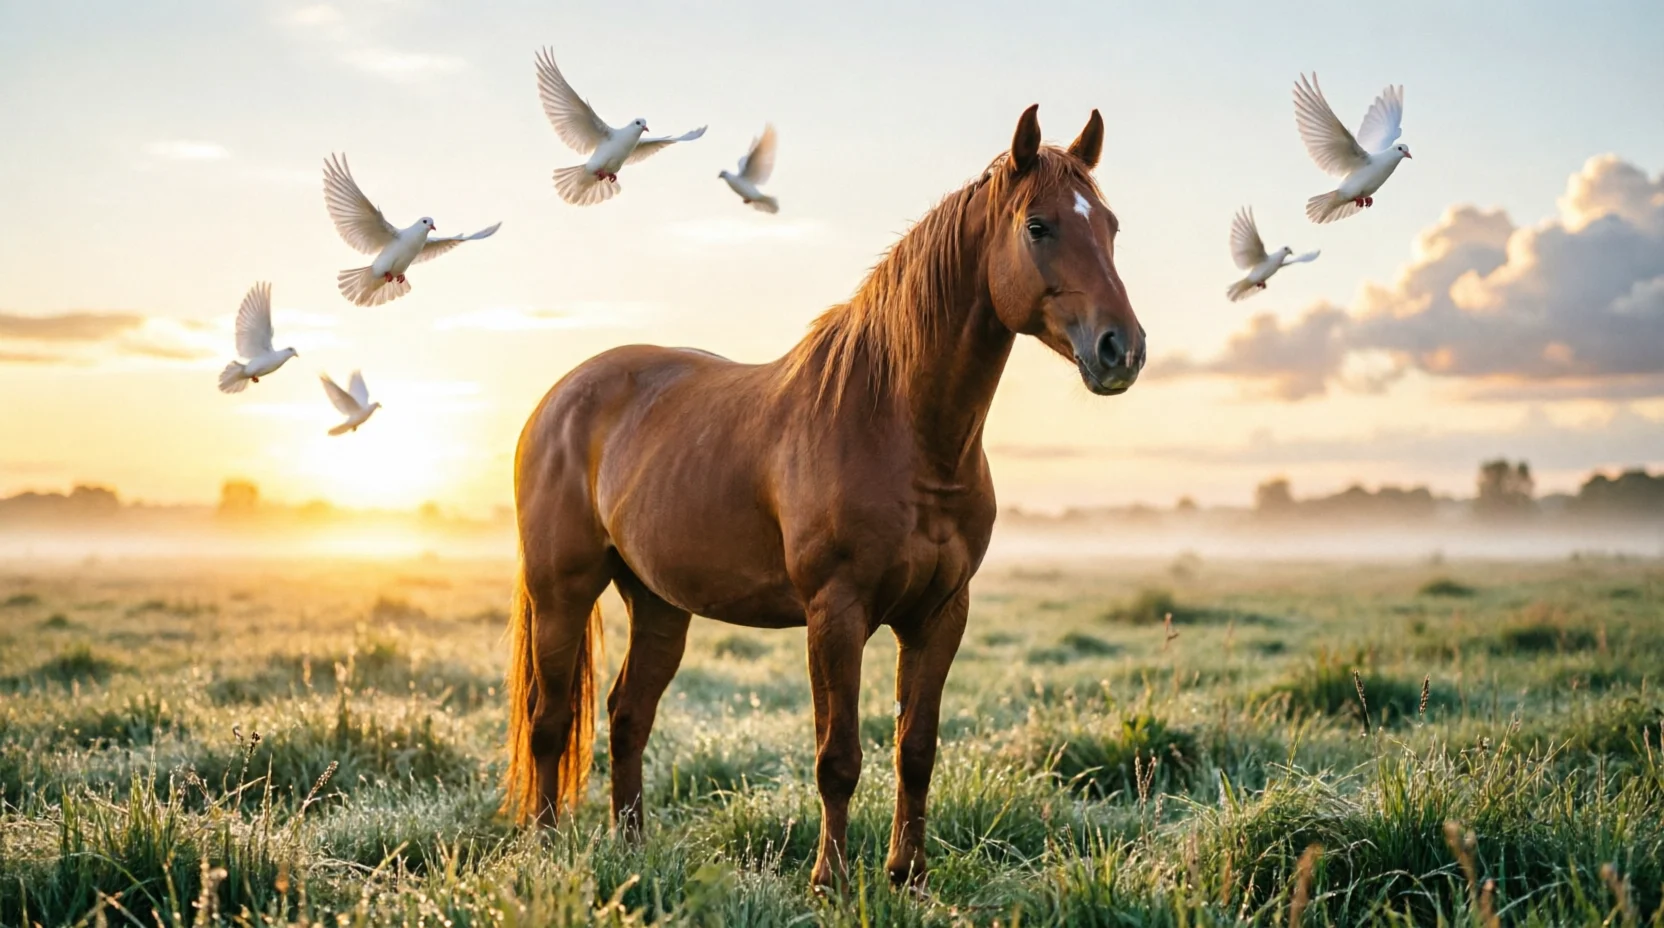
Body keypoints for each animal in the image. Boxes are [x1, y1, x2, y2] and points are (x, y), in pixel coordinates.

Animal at [504, 103, 1146, 890]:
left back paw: (631, 851)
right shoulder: (836, 612)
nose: (1121, 350)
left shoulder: (941, 613)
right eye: (1038, 226)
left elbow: (916, 750)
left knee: (628, 717)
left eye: (1110, 225)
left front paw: (908, 875)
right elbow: (837, 758)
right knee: (550, 720)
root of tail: (559, 398)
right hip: (562, 590)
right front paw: (830, 880)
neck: (900, 426)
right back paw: (543, 850)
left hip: (657, 601)